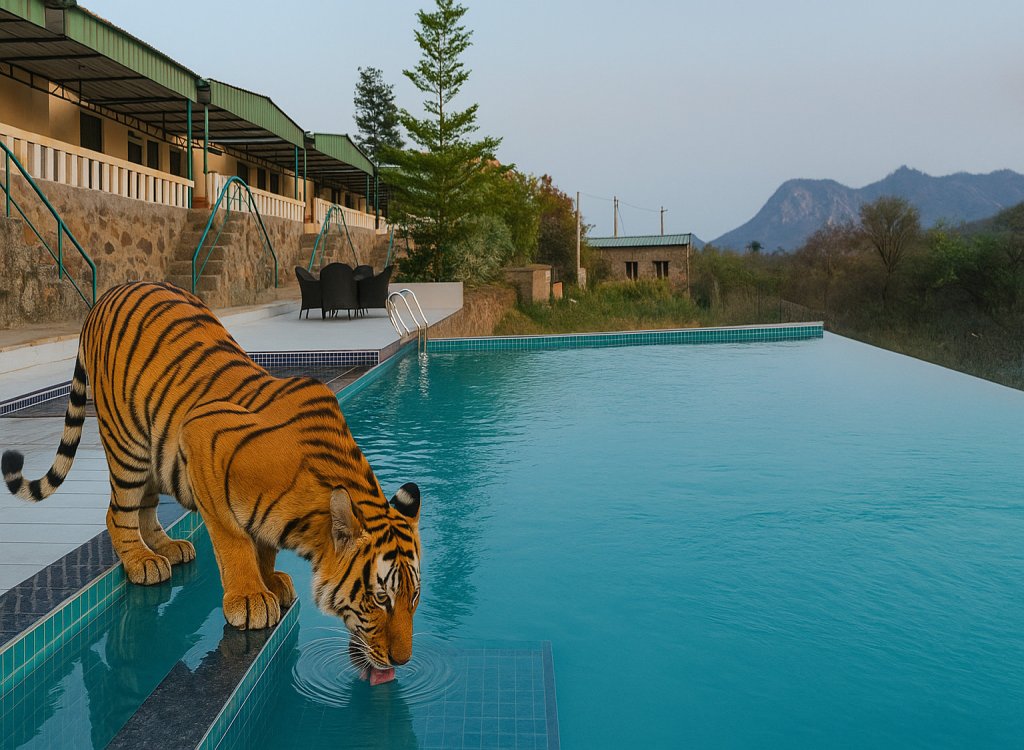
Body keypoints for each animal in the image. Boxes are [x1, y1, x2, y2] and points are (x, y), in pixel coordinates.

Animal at [2, 281, 421, 679]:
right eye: (380, 599)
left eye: (414, 598)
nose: (402, 661)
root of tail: (106, 295)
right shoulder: (202, 440)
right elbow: (233, 538)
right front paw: (251, 598)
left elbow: (264, 543)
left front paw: (270, 581)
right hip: (127, 443)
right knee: (117, 511)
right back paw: (141, 561)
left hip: (153, 449)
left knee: (145, 505)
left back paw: (167, 548)